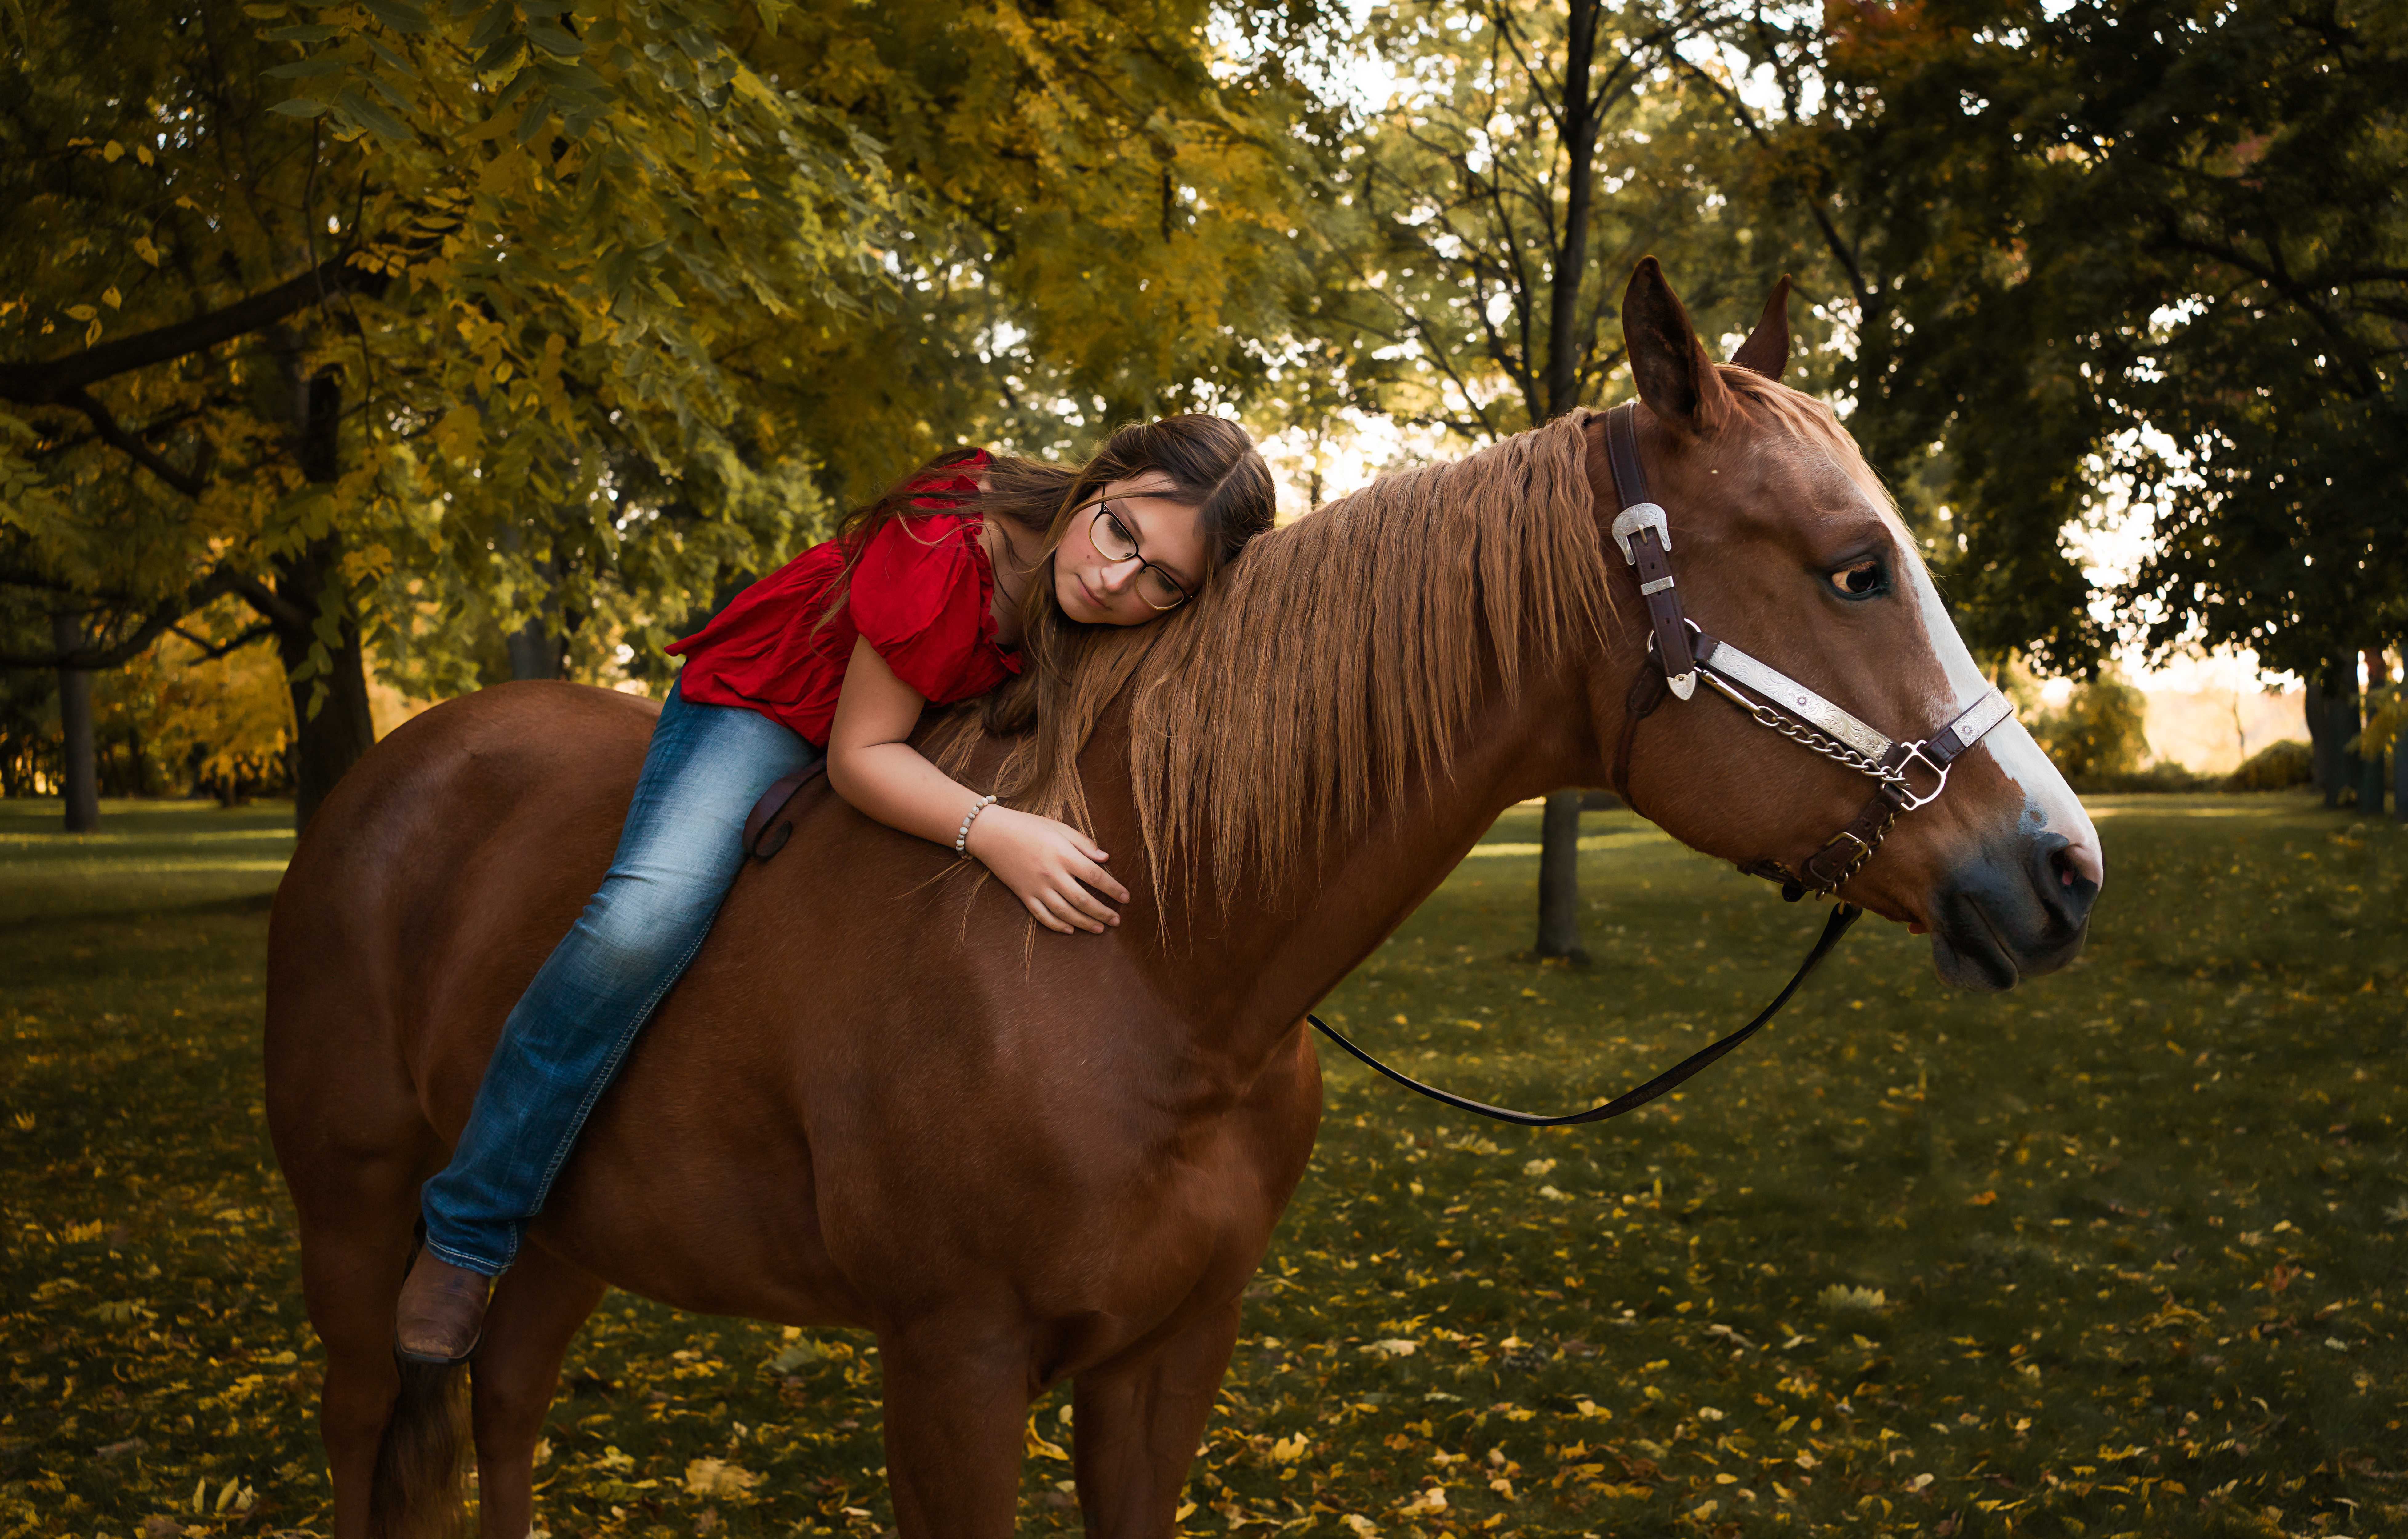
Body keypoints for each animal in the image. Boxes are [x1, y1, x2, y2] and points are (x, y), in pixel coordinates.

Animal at [273, 265, 2100, 1539]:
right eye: (1855, 567)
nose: (2062, 870)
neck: (1153, 962)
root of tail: (395, 777)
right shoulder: (950, 1364)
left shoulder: (1167, 1357)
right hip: (358, 1215)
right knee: (376, 1425)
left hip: (565, 1232)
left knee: (500, 1409)